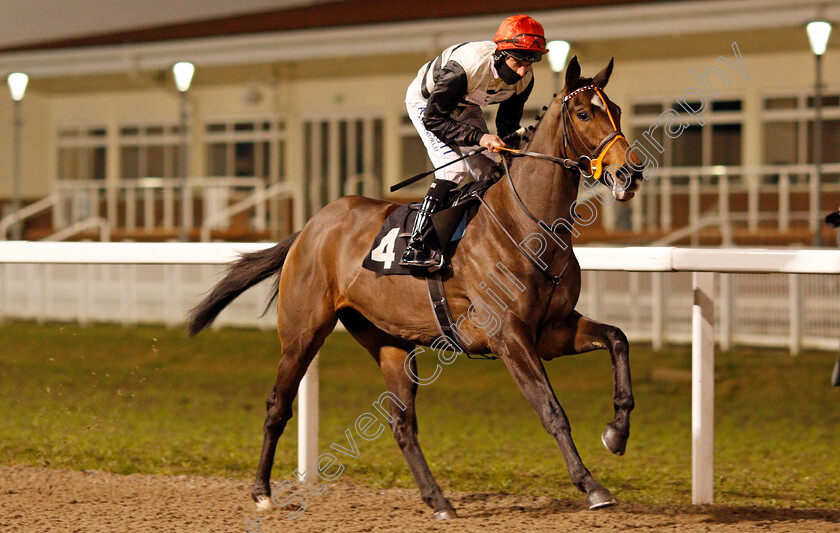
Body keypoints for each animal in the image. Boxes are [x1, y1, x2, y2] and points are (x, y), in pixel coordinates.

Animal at [189, 56, 644, 516]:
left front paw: (617, 432)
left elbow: (618, 338)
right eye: (584, 113)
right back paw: (262, 491)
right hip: (302, 333)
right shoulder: (510, 336)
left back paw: (437, 499)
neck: (527, 225)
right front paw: (591, 485)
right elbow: (551, 409)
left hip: (388, 340)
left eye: (617, 110)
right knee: (277, 406)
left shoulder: (552, 330)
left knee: (402, 423)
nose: (630, 172)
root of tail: (309, 227)